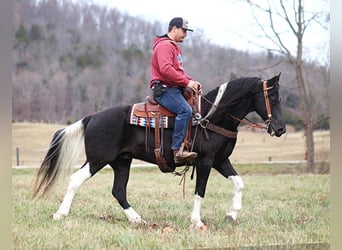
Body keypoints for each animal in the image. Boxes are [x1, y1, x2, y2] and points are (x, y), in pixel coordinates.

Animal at [32, 72, 286, 229]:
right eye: (273, 98)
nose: (281, 128)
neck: (210, 118)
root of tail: (92, 117)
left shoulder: (221, 160)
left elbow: (239, 183)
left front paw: (232, 214)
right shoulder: (205, 162)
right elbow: (200, 191)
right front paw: (197, 221)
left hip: (121, 162)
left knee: (118, 191)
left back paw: (138, 220)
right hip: (98, 160)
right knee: (76, 180)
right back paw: (60, 214)